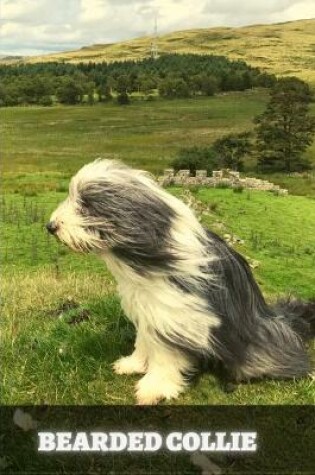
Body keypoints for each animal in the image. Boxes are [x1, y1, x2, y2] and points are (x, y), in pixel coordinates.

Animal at [46, 160, 314, 406]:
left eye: (86, 205)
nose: (50, 226)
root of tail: (281, 319)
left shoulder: (174, 314)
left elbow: (165, 355)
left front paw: (154, 388)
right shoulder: (146, 307)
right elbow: (144, 340)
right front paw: (133, 364)